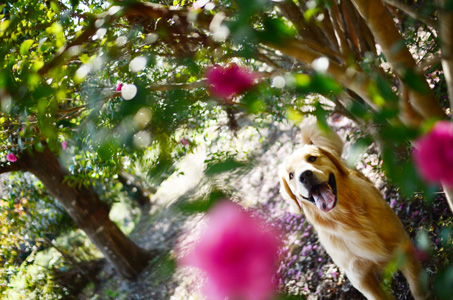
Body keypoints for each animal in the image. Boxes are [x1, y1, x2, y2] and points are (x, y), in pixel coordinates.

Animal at [278, 122, 424, 300]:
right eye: (291, 175)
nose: (304, 175)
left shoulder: (404, 248)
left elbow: (418, 289)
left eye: (312, 158)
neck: (347, 216)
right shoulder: (360, 278)